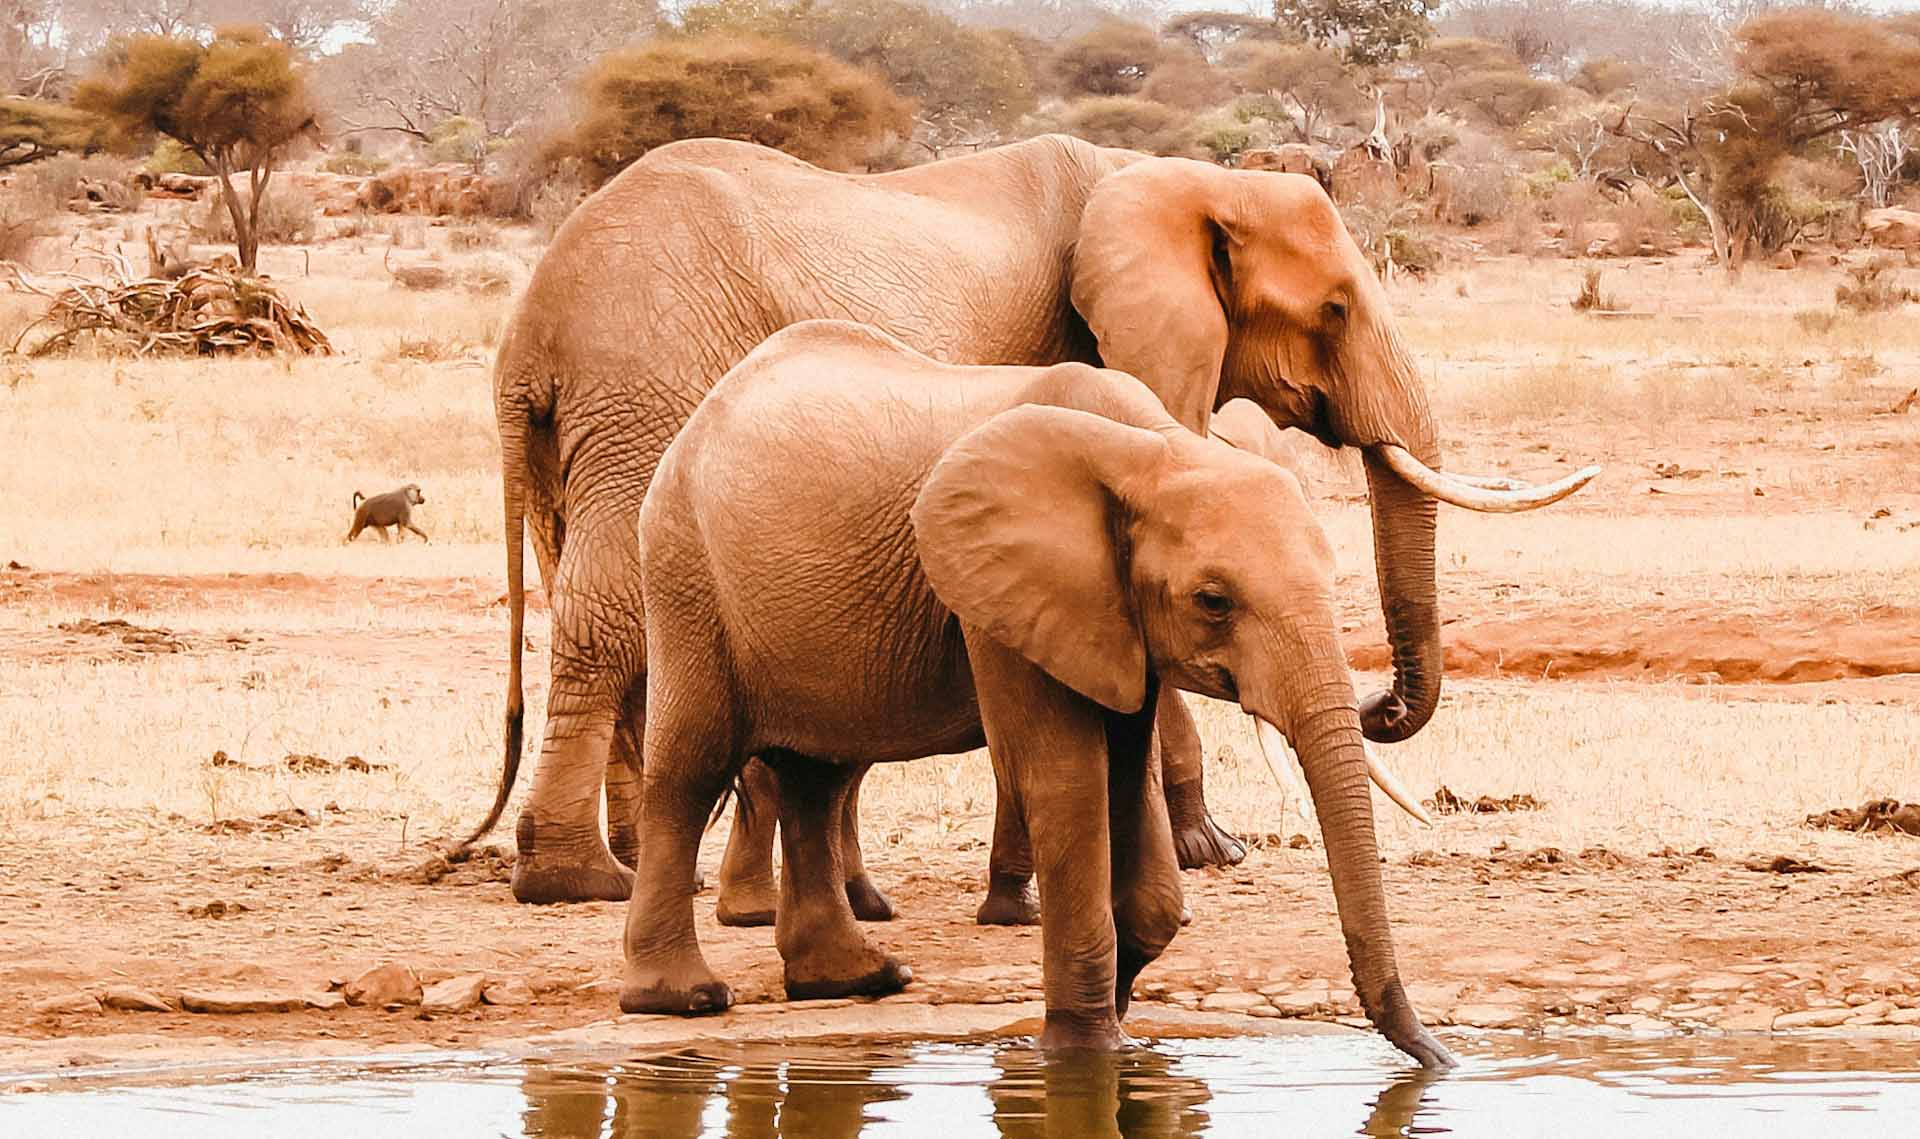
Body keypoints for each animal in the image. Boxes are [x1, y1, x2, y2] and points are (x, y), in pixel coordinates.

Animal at [468, 133, 1596, 910]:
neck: (1169, 176)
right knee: (609, 610)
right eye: (1334, 310)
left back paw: (649, 862)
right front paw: (1210, 850)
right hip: (646, 386)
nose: (1378, 705)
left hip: (594, 424)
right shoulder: (1102, 363)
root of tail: (529, 332)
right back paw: (583, 880)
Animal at [621, 319, 1453, 1070]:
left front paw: (1120, 1021)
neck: (1153, 449)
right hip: (686, 571)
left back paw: (856, 981)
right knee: (692, 769)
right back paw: (682, 997)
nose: (1437, 1058)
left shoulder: (1112, 615)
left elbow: (1129, 781)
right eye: (1214, 601)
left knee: (815, 778)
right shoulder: (997, 595)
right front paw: (1082, 1051)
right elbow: (1066, 779)